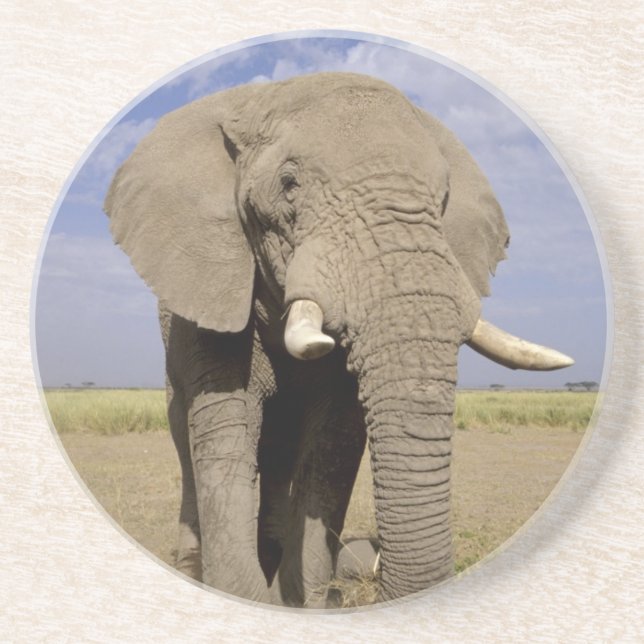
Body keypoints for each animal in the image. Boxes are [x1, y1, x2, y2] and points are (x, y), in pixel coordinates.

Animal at [104, 72, 573, 607]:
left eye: (444, 199)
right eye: (288, 185)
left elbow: (334, 440)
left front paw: (306, 603)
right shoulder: (210, 292)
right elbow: (228, 427)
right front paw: (248, 597)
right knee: (189, 444)